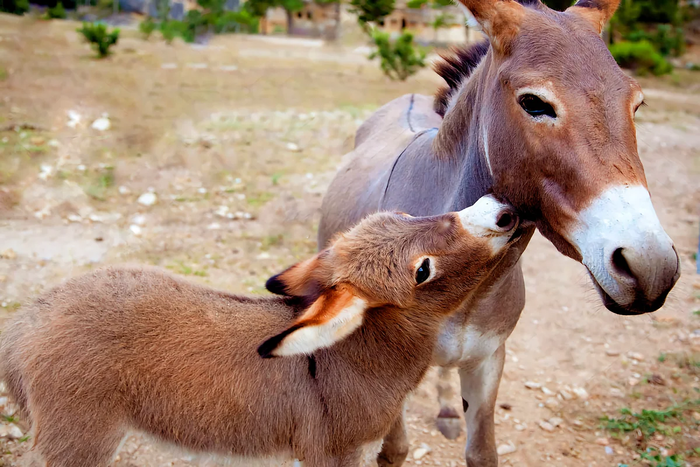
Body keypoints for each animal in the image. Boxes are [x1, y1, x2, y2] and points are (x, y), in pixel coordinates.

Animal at [1, 196, 520, 467]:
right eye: (422, 271)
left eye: (407, 213)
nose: (500, 209)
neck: (345, 359)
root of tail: (26, 323)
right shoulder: (331, 455)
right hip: (80, 440)